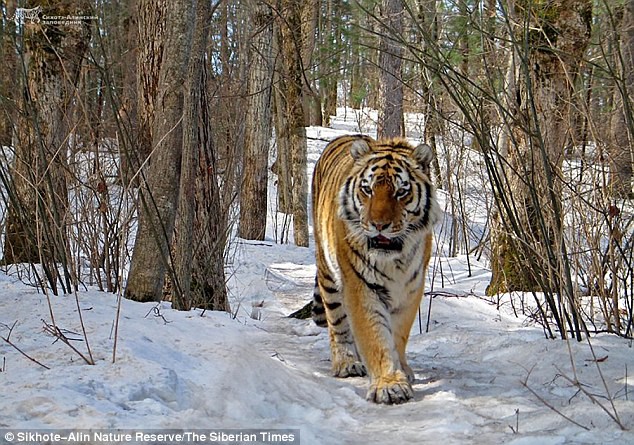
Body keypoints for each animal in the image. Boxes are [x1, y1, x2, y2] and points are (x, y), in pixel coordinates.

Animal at [308, 132, 436, 402]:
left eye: (401, 192)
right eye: (367, 190)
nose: (379, 225)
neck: (394, 260)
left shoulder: (411, 288)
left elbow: (398, 335)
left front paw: (401, 370)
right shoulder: (360, 286)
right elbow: (374, 335)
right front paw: (389, 384)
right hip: (327, 273)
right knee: (337, 323)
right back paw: (346, 363)